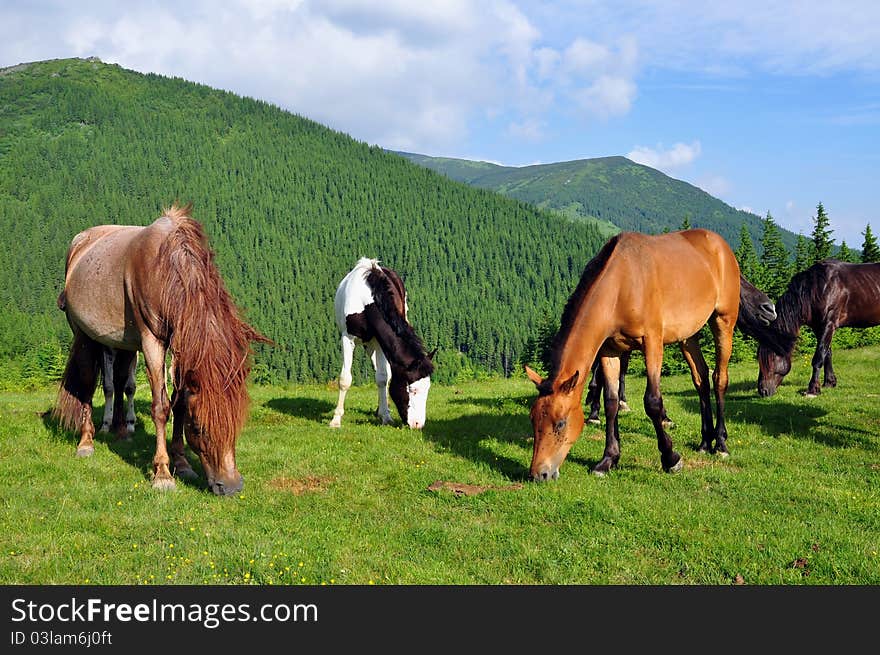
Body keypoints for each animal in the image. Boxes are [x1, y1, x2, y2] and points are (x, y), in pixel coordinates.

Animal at [53, 205, 266, 498]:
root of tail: (79, 243)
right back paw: (86, 442)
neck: (167, 269)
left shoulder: (180, 346)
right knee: (87, 383)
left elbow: (179, 403)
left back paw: (122, 431)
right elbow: (161, 407)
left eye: (237, 422)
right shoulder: (152, 342)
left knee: (120, 380)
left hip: (123, 344)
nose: (231, 486)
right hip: (85, 337)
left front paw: (182, 463)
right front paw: (163, 473)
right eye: (198, 427)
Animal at [328, 256, 434, 430]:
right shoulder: (347, 338)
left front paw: (386, 416)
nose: (418, 424)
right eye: (412, 389)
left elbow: (383, 378)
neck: (367, 300)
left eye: (428, 388)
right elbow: (345, 379)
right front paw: (336, 420)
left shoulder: (380, 342)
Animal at [524, 231, 744, 482]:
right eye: (533, 419)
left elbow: (653, 402)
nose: (539, 473)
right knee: (701, 379)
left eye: (560, 423)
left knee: (719, 379)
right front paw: (608, 459)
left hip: (723, 320)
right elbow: (611, 403)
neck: (622, 285)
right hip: (688, 336)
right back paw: (705, 442)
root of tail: (720, 244)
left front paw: (671, 458)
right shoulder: (610, 351)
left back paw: (721, 443)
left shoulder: (652, 343)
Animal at [752, 258, 880, 398]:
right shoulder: (818, 328)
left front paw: (812, 389)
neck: (818, 288)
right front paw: (829, 382)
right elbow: (827, 353)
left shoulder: (828, 324)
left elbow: (818, 357)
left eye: (772, 358)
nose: (763, 391)